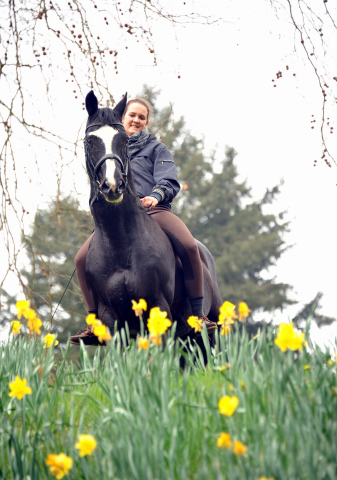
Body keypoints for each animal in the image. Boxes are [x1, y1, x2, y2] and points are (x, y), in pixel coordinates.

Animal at [83, 90, 222, 338]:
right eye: (91, 141)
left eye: (124, 140)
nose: (112, 186)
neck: (119, 243)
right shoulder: (110, 318)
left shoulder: (158, 309)